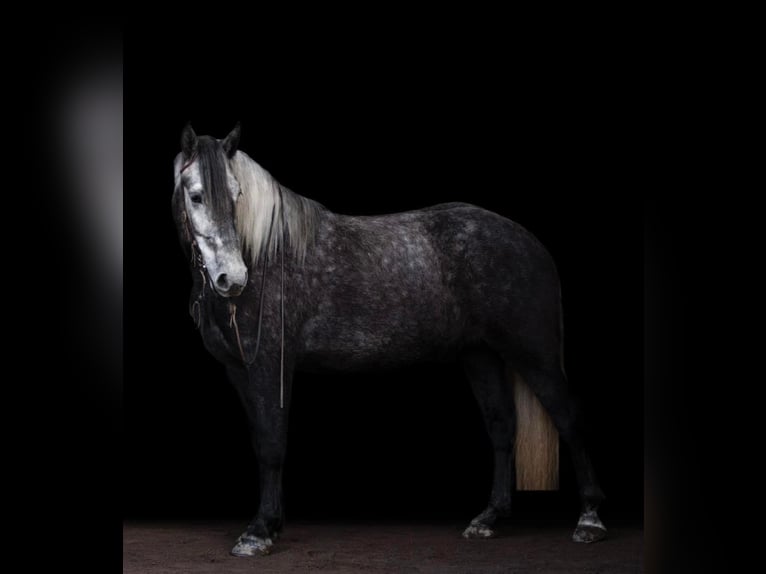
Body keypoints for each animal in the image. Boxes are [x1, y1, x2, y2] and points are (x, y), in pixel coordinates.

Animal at [172, 125, 608, 560]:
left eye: (237, 195)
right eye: (196, 196)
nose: (232, 278)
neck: (265, 254)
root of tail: (529, 242)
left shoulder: (269, 364)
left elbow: (271, 444)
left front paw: (259, 531)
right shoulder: (239, 370)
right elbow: (260, 442)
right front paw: (270, 526)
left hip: (534, 353)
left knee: (568, 418)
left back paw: (589, 521)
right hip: (481, 355)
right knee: (502, 426)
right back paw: (488, 519)